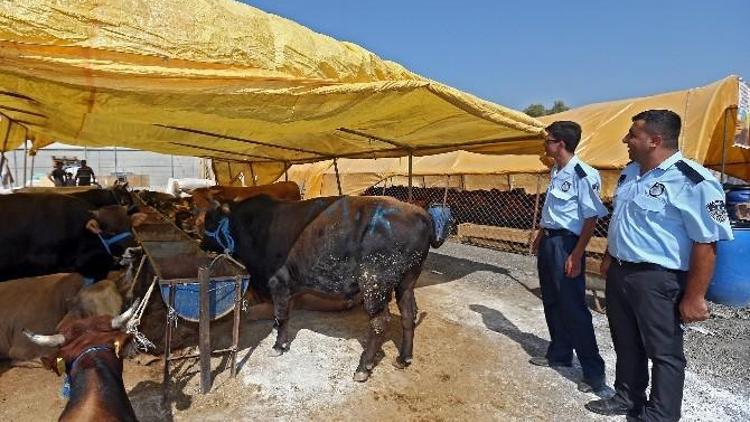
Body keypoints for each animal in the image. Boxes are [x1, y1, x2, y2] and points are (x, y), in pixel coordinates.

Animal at [200, 195, 446, 382]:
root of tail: (419, 212)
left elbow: (281, 315)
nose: (201, 243)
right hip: (406, 282)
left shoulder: (278, 282)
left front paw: (278, 346)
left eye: (210, 220)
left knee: (379, 322)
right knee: (408, 314)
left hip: (374, 283)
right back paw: (404, 359)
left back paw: (363, 368)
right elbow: (284, 316)